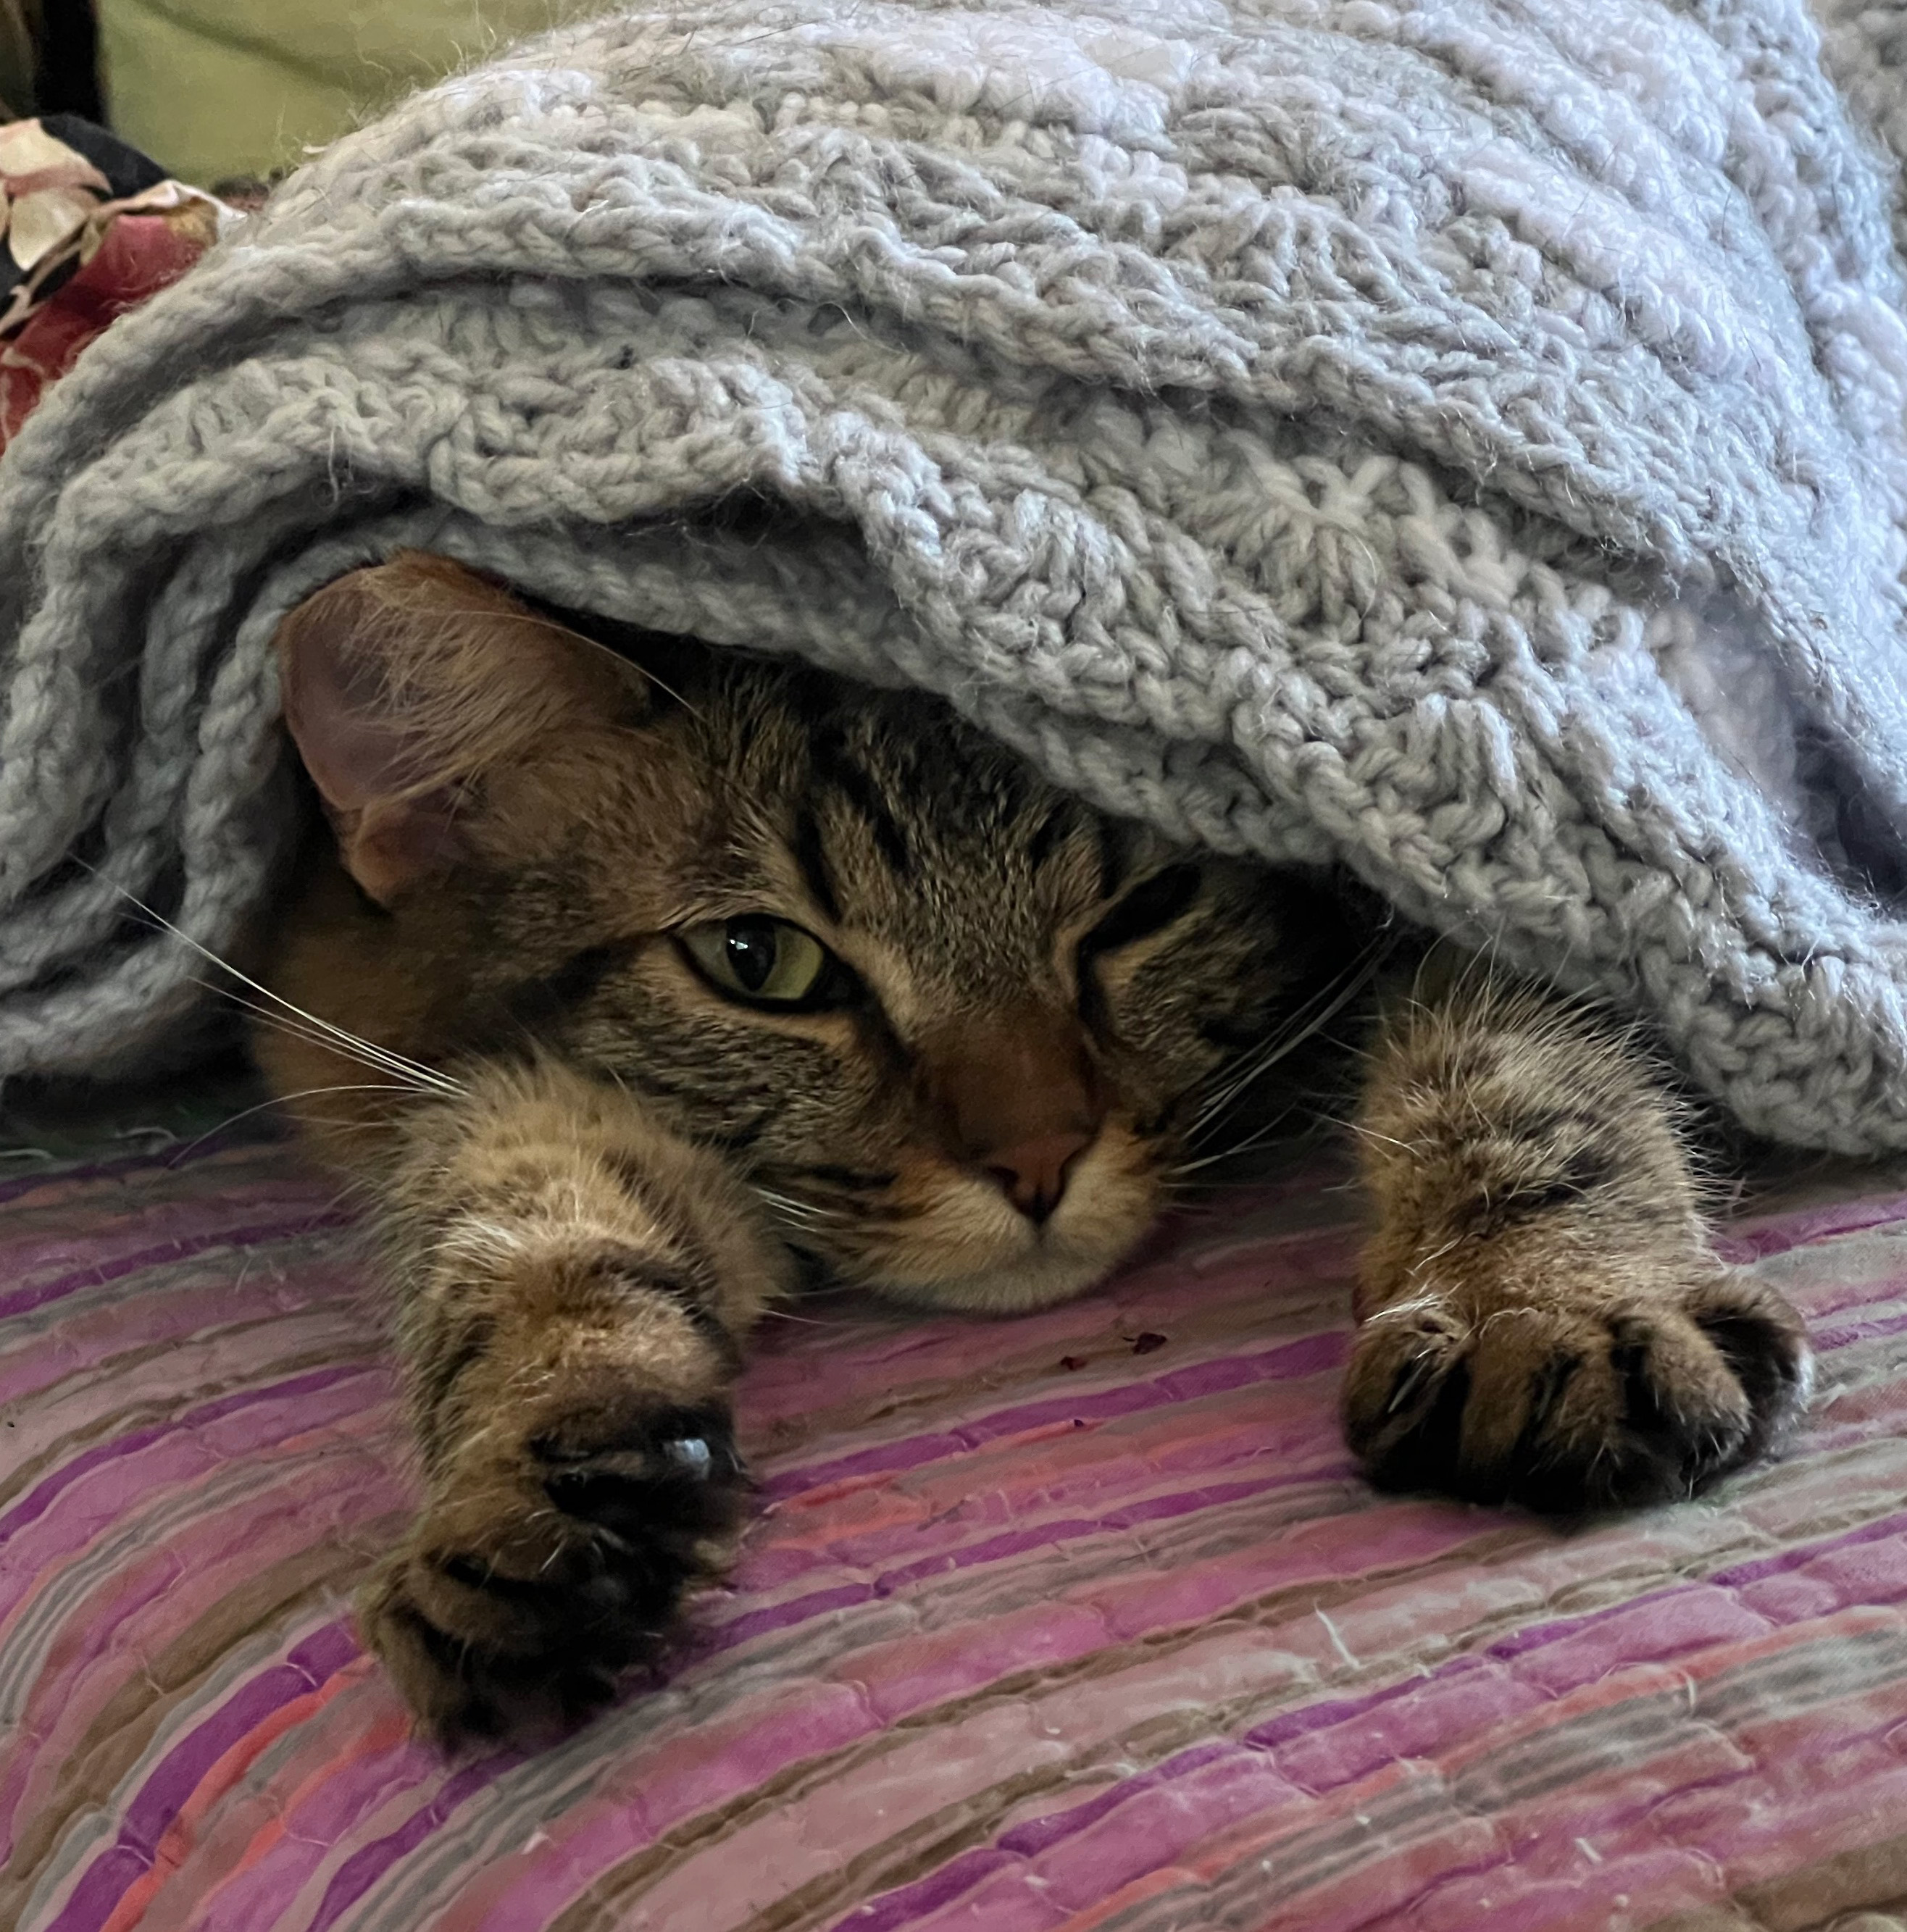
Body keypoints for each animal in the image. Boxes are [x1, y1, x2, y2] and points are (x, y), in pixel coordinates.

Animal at [246, 552, 1808, 1746]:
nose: (1041, 1162)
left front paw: (1544, 1302)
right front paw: (536, 1490)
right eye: (757, 961)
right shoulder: (493, 1086)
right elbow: (519, 1247)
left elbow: (1522, 1077)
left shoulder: (1501, 895)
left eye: (1151, 901)